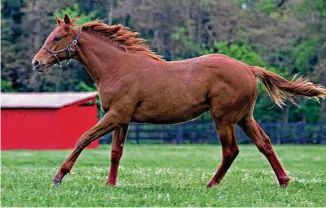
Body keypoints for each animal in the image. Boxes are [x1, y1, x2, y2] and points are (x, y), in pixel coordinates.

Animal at [31, 13, 326, 188]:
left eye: (57, 37)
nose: (36, 63)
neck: (118, 67)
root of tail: (248, 68)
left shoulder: (115, 115)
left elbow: (83, 138)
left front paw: (58, 176)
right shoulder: (122, 119)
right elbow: (116, 152)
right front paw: (110, 185)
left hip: (223, 119)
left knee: (231, 151)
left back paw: (211, 185)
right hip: (244, 117)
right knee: (264, 143)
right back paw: (284, 180)